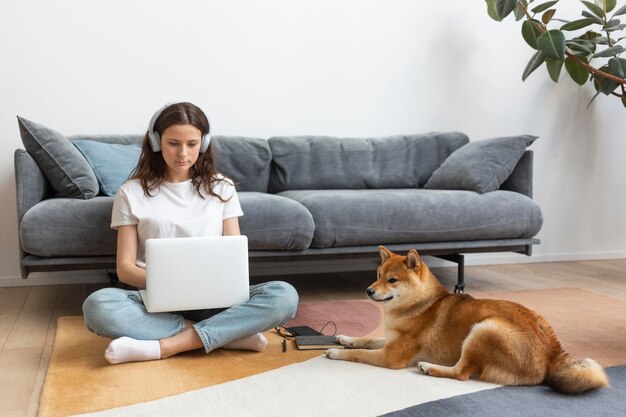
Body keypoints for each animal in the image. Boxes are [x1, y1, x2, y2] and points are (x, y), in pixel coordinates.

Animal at [324, 247, 608, 394]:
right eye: (378, 275)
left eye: (392, 280)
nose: (368, 291)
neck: (419, 305)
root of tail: (551, 352)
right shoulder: (391, 338)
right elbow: (368, 339)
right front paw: (346, 338)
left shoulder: (392, 356)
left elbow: (360, 354)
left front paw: (337, 352)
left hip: (483, 330)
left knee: (461, 373)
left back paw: (430, 367)